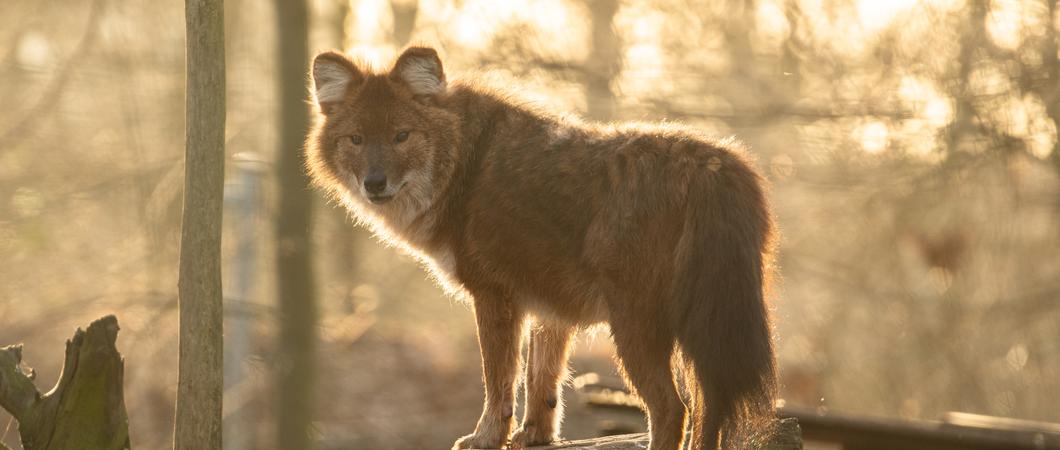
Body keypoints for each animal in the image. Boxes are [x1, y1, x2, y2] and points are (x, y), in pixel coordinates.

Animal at [307, 47, 780, 446]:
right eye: (356, 139)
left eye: (402, 135)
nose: (374, 183)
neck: (465, 168)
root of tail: (716, 166)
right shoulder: (549, 304)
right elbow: (542, 379)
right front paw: (535, 436)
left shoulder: (495, 295)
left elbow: (499, 381)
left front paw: (486, 438)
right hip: (706, 326)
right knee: (708, 410)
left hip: (637, 326)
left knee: (672, 409)